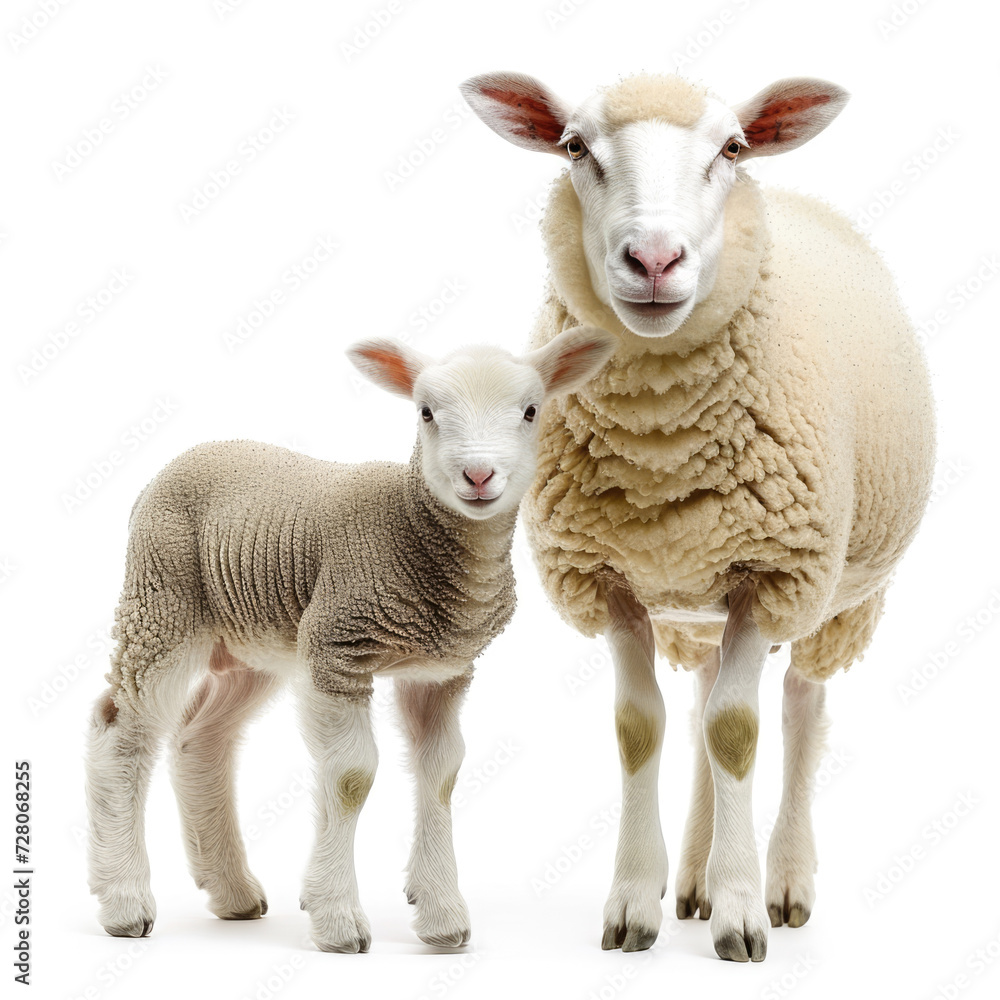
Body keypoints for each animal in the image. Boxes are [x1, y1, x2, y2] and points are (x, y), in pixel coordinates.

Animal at [85, 327, 614, 953]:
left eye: (531, 411)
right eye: (426, 412)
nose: (479, 476)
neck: (409, 527)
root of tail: (175, 464)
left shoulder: (439, 669)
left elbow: (443, 774)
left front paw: (442, 915)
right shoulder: (337, 647)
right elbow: (351, 776)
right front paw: (337, 917)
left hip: (254, 641)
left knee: (200, 738)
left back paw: (232, 892)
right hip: (163, 600)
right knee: (122, 733)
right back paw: (124, 901)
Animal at [460, 71, 935, 962]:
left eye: (732, 149)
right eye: (574, 146)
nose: (654, 259)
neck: (661, 449)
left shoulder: (771, 573)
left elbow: (740, 733)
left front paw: (743, 913)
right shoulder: (607, 578)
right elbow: (642, 728)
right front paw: (633, 904)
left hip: (835, 599)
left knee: (798, 709)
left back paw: (782, 881)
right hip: (698, 607)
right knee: (707, 697)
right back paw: (693, 876)